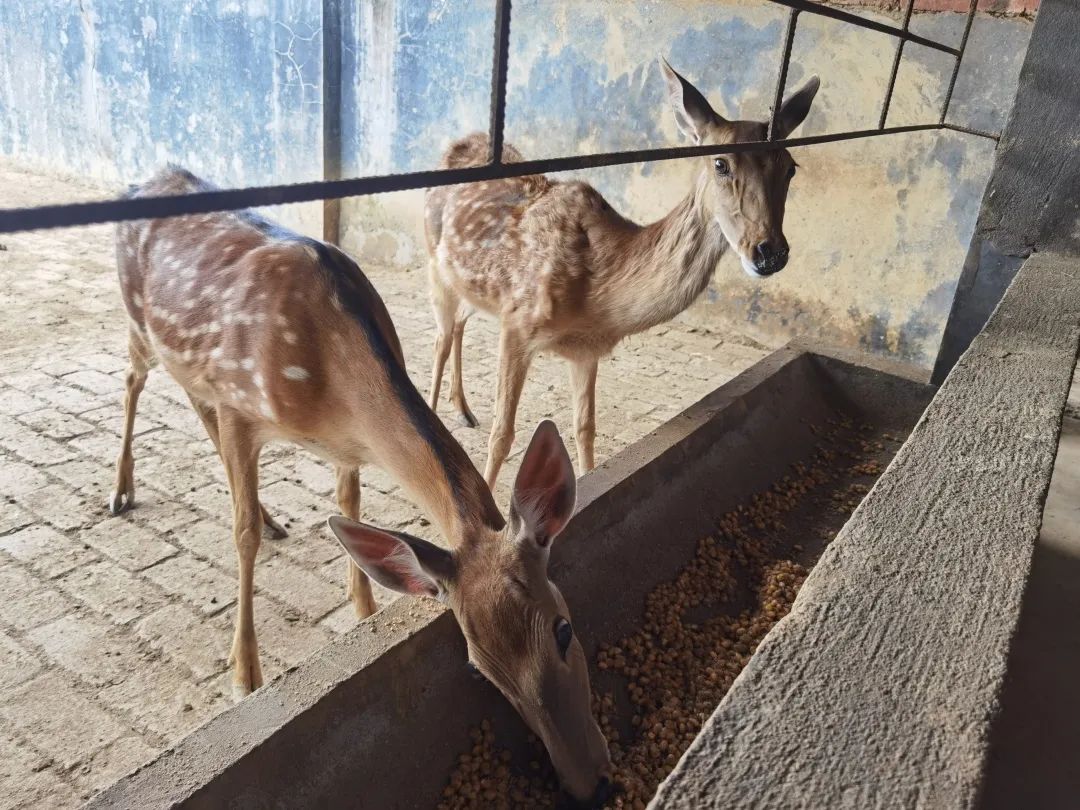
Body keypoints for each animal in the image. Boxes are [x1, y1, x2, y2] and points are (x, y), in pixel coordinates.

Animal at [111, 169, 617, 807]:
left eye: (563, 627)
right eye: (480, 667)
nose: (589, 784)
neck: (327, 375)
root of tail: (144, 180)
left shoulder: (343, 446)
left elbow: (347, 508)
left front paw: (365, 610)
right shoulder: (238, 406)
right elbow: (241, 534)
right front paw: (244, 674)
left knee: (187, 399)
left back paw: (268, 514)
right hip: (137, 326)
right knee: (132, 380)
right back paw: (121, 491)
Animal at [423, 60, 816, 488]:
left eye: (791, 167)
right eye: (720, 163)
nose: (770, 251)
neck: (598, 298)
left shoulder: (586, 350)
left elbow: (584, 427)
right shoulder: (518, 322)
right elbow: (502, 435)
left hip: (471, 286)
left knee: (458, 324)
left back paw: (463, 409)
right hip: (433, 259)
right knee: (440, 337)